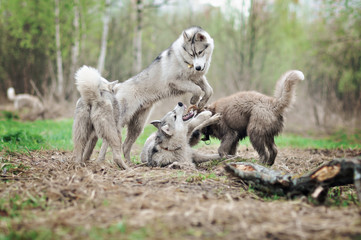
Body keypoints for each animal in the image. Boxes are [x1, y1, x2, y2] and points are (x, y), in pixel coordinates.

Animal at [89, 26, 214, 165]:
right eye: (192, 54)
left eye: (200, 52)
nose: (198, 67)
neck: (184, 59)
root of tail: (118, 87)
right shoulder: (175, 81)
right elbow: (197, 89)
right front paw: (194, 99)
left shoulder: (197, 78)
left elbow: (209, 90)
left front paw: (202, 102)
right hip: (121, 121)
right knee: (108, 141)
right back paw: (101, 160)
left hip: (138, 126)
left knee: (126, 145)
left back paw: (130, 163)